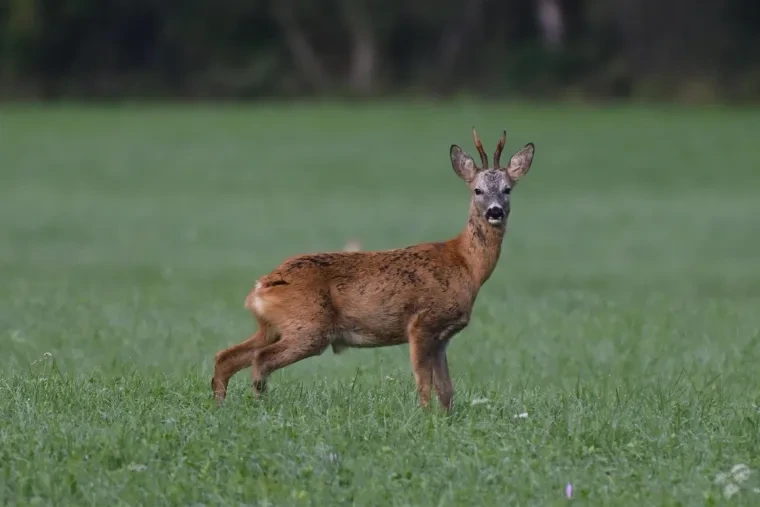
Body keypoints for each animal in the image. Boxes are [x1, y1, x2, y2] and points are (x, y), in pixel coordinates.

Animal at [211, 128, 536, 412]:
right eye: (477, 190)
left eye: (507, 189)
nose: (495, 211)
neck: (465, 265)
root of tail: (261, 286)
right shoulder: (421, 324)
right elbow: (424, 384)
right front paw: (424, 418)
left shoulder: (443, 335)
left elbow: (447, 390)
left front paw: (444, 420)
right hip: (309, 327)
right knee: (260, 360)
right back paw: (258, 405)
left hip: (273, 327)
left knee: (226, 356)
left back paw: (221, 406)